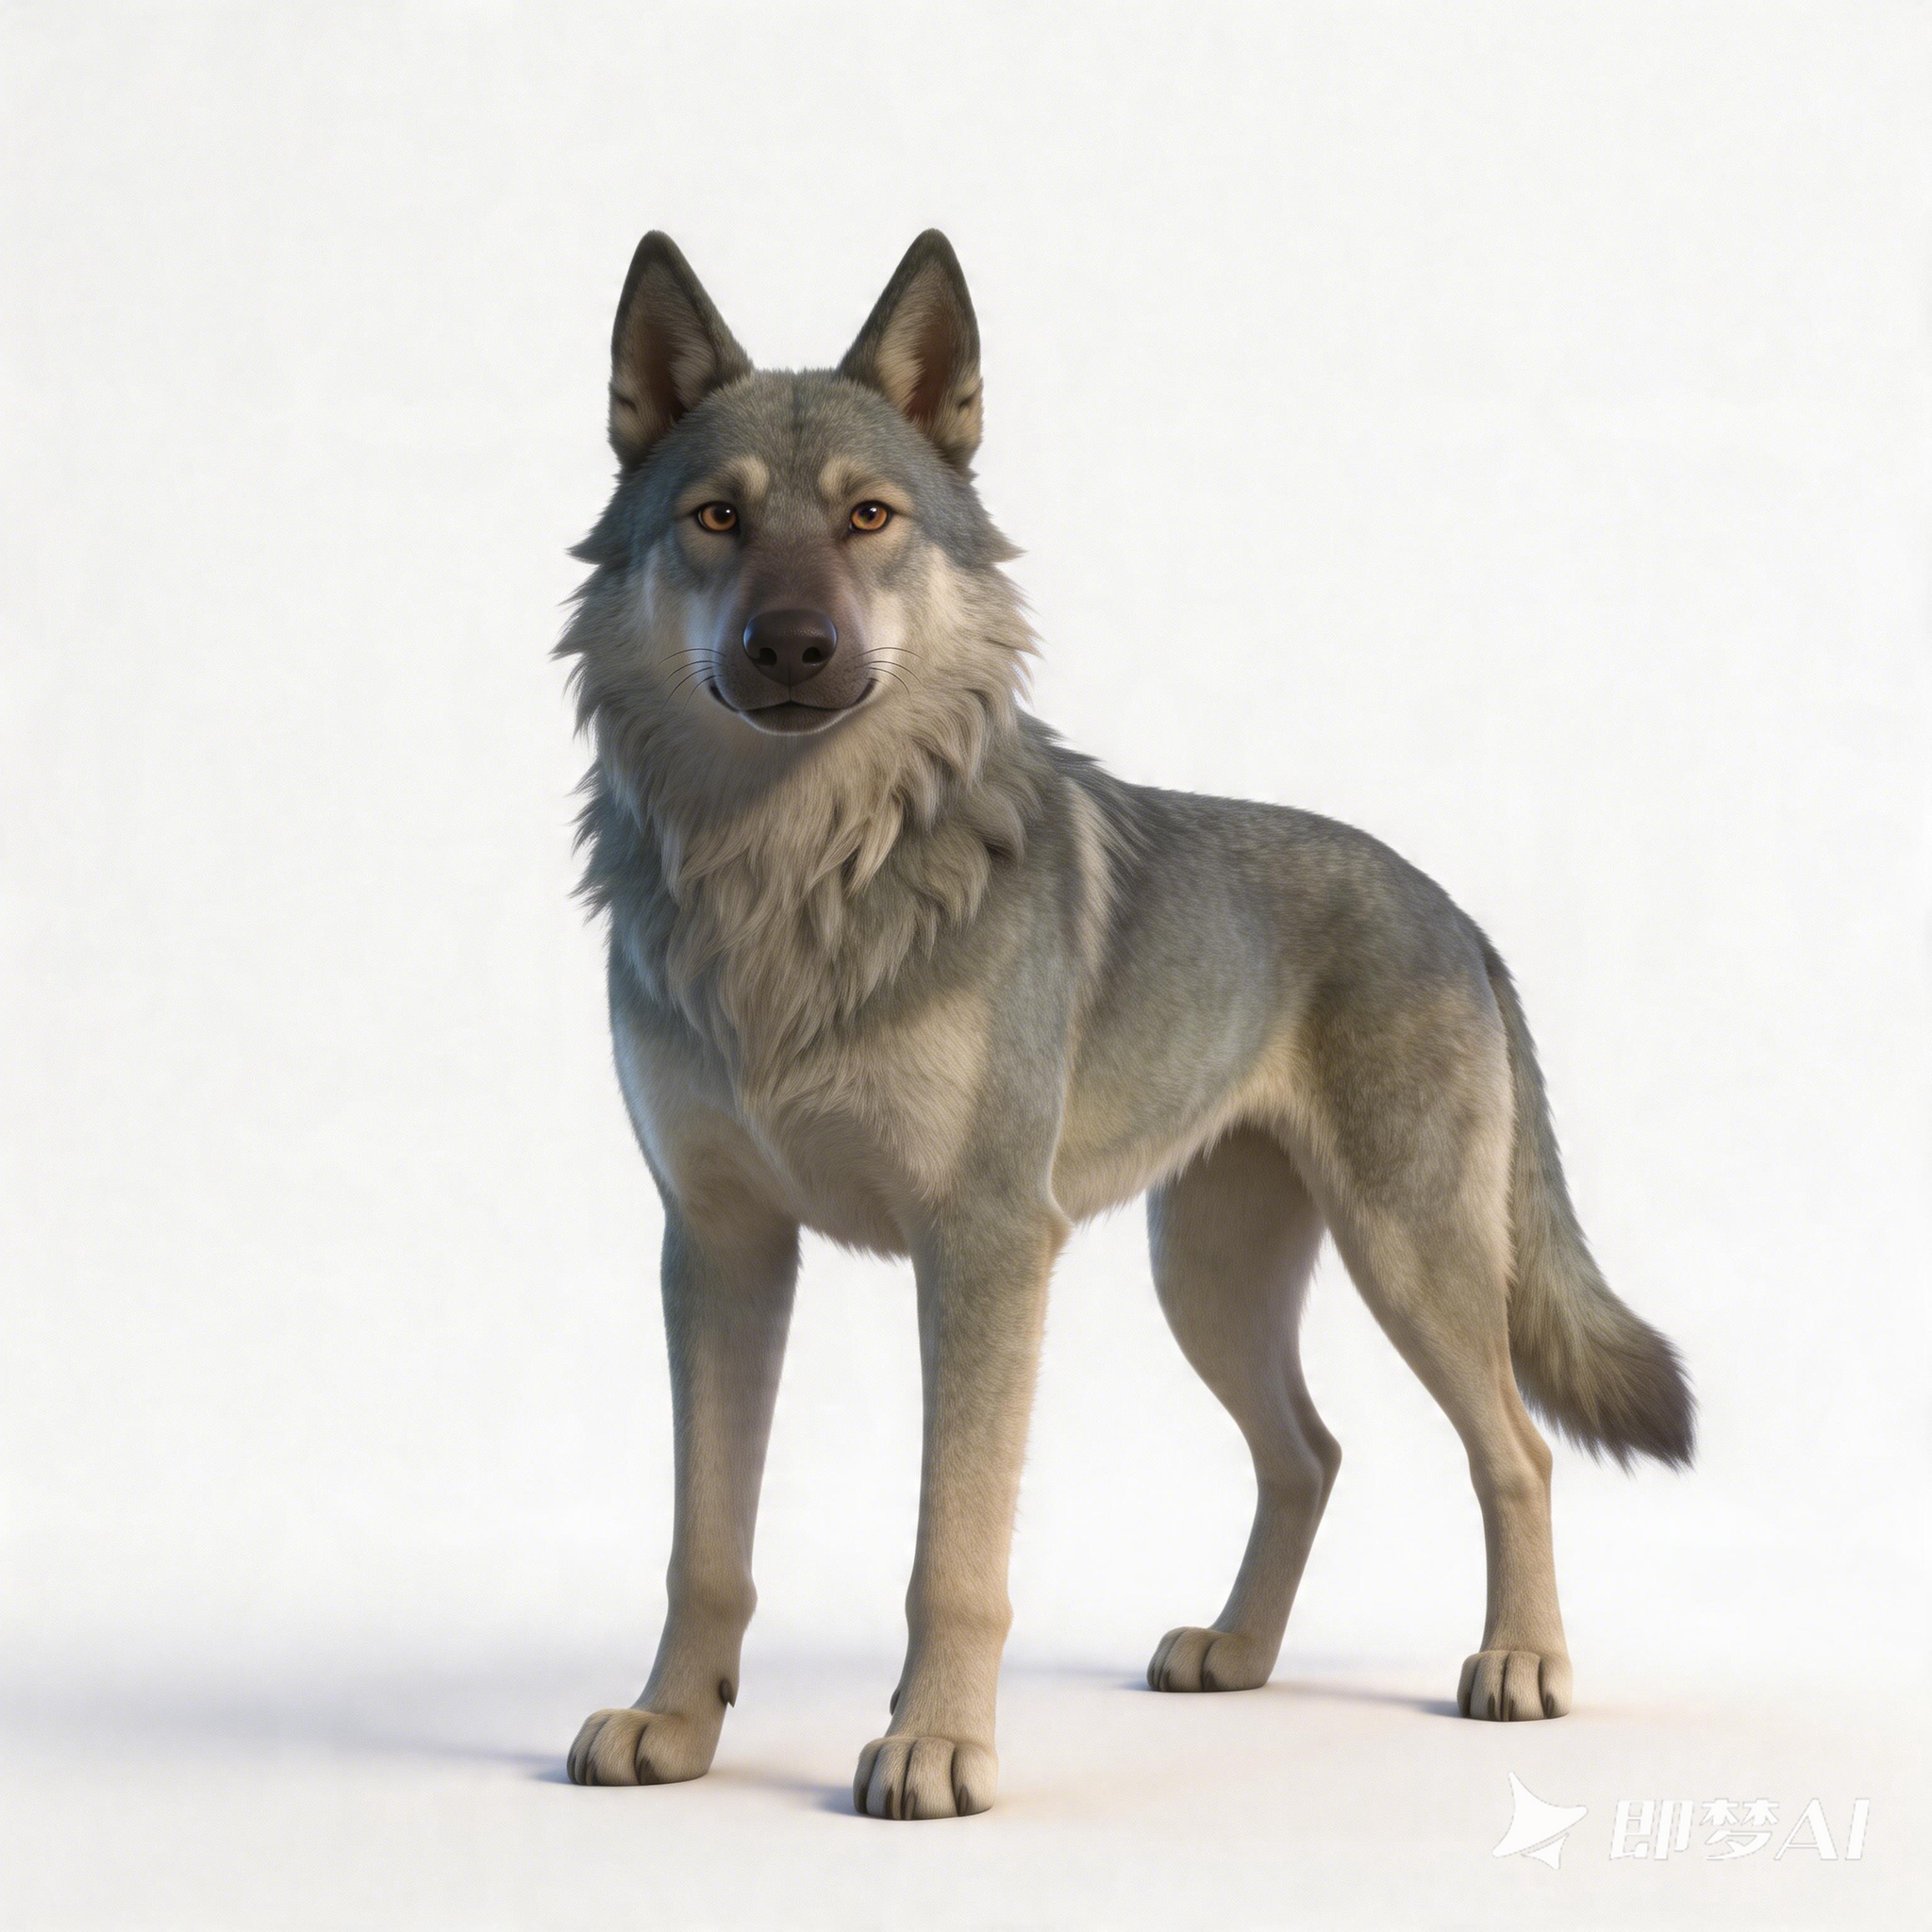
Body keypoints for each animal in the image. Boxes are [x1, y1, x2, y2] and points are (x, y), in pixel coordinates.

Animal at [556, 230, 1693, 1820]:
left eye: (867, 517)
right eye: (717, 517)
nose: (790, 647)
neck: (796, 874)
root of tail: (1454, 910)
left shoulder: (980, 1249)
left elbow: (954, 1553)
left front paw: (936, 1745)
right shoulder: (719, 1248)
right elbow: (704, 1545)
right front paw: (674, 1726)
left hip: (1408, 1258)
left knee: (1515, 1447)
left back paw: (1522, 1666)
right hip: (1204, 1278)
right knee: (1311, 1452)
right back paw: (1238, 1653)